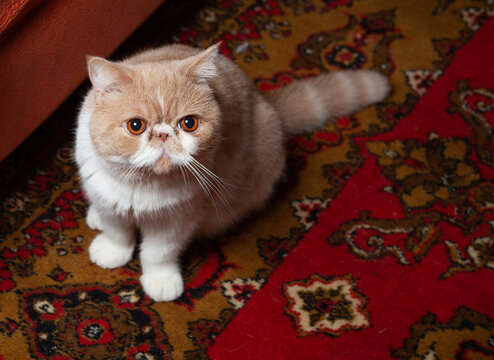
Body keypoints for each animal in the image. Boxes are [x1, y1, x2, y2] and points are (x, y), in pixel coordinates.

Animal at [74, 41, 390, 300]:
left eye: (189, 123)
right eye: (135, 126)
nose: (164, 134)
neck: (140, 185)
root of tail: (269, 106)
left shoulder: (178, 219)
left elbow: (158, 252)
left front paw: (160, 280)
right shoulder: (108, 200)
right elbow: (117, 231)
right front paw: (112, 251)